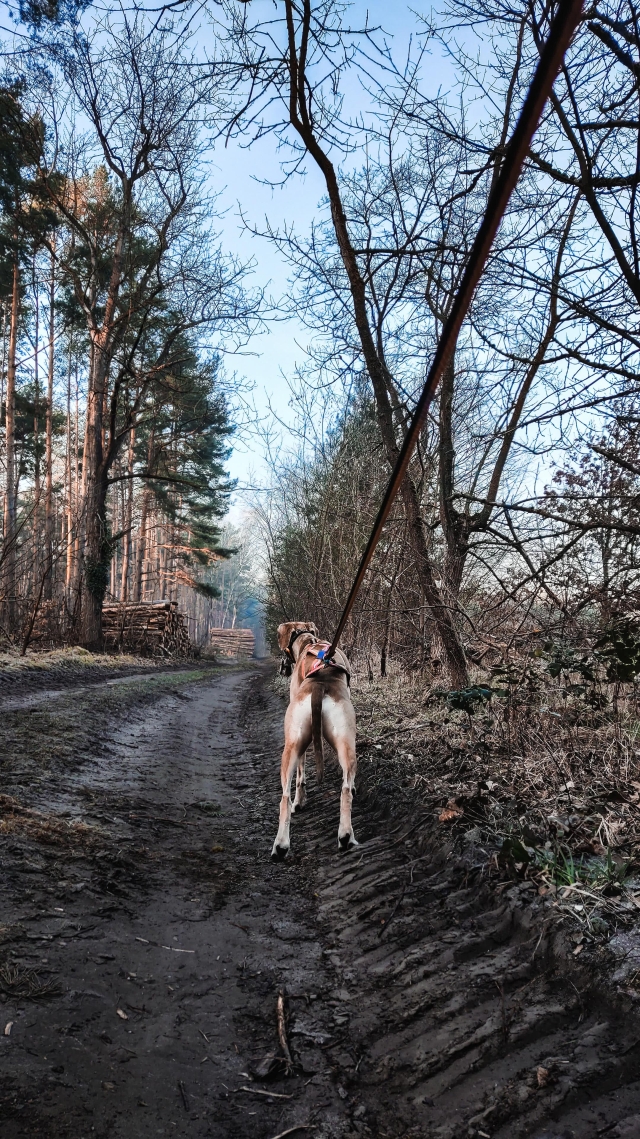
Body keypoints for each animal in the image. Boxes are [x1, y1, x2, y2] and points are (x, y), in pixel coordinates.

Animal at [269, 624, 355, 856]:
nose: (282, 669)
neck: (309, 644)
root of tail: (319, 685)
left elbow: (300, 776)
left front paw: (300, 800)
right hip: (347, 743)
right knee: (345, 788)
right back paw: (345, 835)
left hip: (291, 748)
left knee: (284, 797)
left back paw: (281, 845)